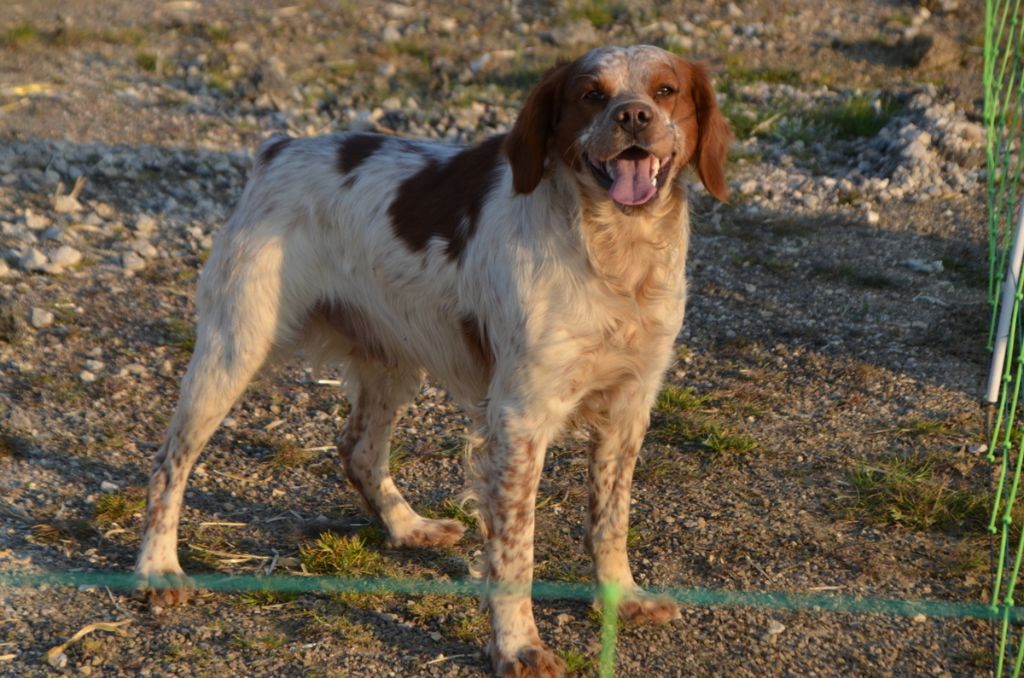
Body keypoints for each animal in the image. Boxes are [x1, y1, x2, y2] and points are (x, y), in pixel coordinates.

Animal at [138, 45, 729, 675]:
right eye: (591, 94)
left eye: (665, 90)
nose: (634, 116)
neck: (614, 252)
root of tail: (279, 148)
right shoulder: (520, 419)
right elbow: (515, 549)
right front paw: (518, 645)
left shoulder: (628, 408)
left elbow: (610, 522)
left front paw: (622, 599)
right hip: (234, 346)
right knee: (169, 462)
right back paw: (158, 568)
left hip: (391, 360)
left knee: (358, 449)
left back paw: (407, 527)